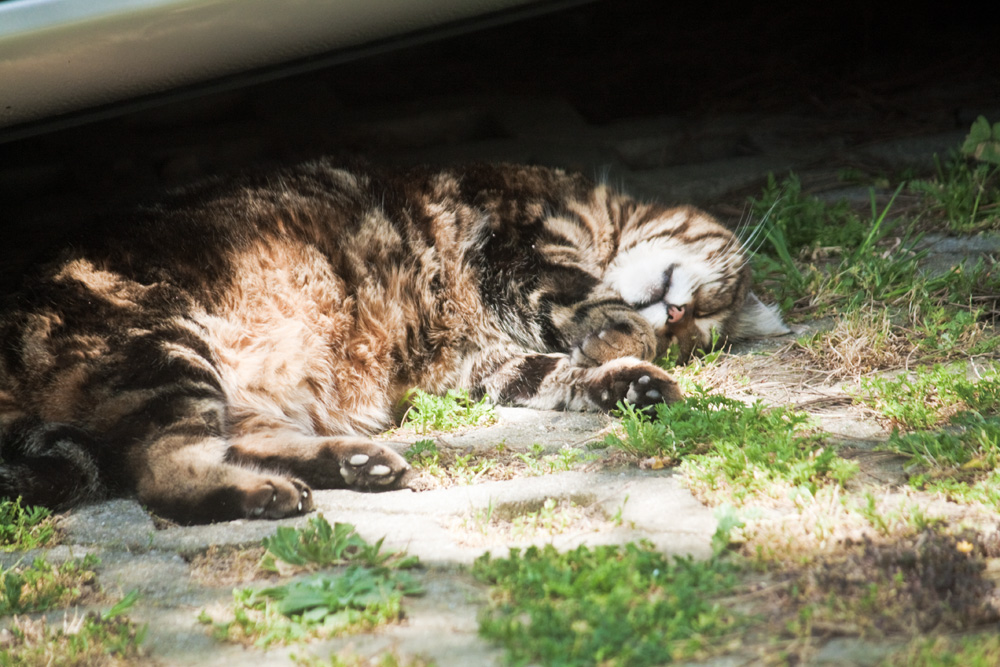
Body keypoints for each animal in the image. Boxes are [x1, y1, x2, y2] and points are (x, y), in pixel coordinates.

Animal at [0, 160, 788, 520]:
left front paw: (629, 378)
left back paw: (350, 464)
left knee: (207, 450)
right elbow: (583, 298)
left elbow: (556, 375)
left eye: (701, 333)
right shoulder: (518, 236)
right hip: (163, 348)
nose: (678, 319)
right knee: (160, 471)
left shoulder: (484, 365)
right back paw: (265, 493)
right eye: (714, 300)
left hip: (217, 388)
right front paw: (622, 339)